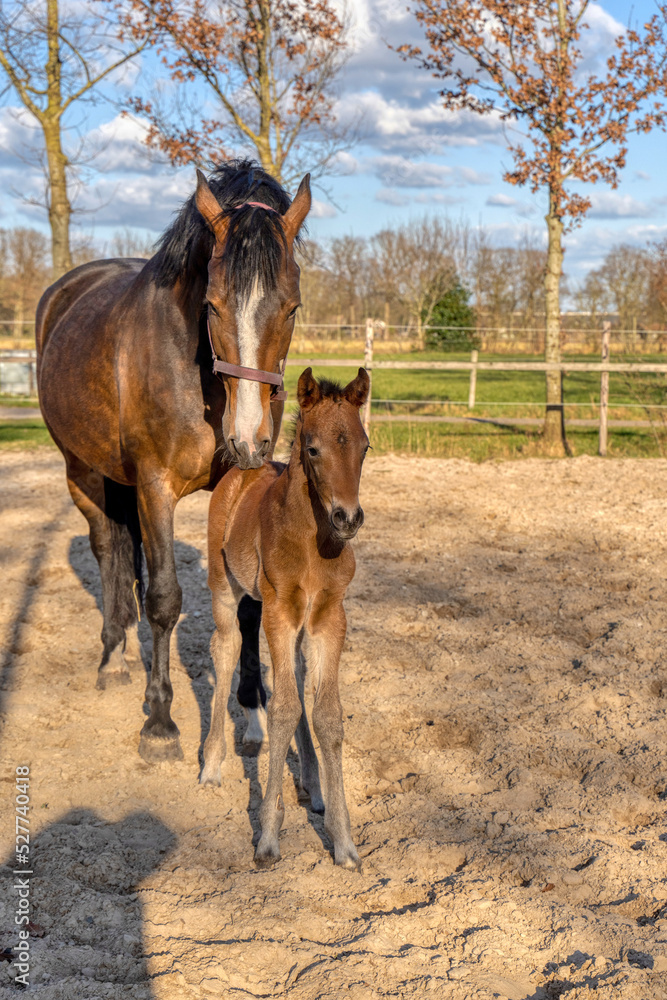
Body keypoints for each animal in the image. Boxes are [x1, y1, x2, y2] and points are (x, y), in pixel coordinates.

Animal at [35, 159, 311, 763]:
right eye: (212, 305)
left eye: (292, 307)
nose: (248, 440)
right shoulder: (155, 487)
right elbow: (163, 599)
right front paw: (160, 723)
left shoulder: (238, 486)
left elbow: (247, 606)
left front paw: (251, 716)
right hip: (82, 472)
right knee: (108, 550)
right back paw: (113, 657)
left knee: (126, 552)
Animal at [201, 366, 369, 869]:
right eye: (313, 449)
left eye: (364, 446)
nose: (348, 518)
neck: (314, 540)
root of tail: (245, 467)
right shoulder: (277, 610)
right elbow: (281, 709)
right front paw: (268, 838)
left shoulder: (329, 617)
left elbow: (325, 713)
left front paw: (344, 841)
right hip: (225, 590)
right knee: (226, 649)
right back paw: (211, 764)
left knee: (292, 672)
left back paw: (312, 786)